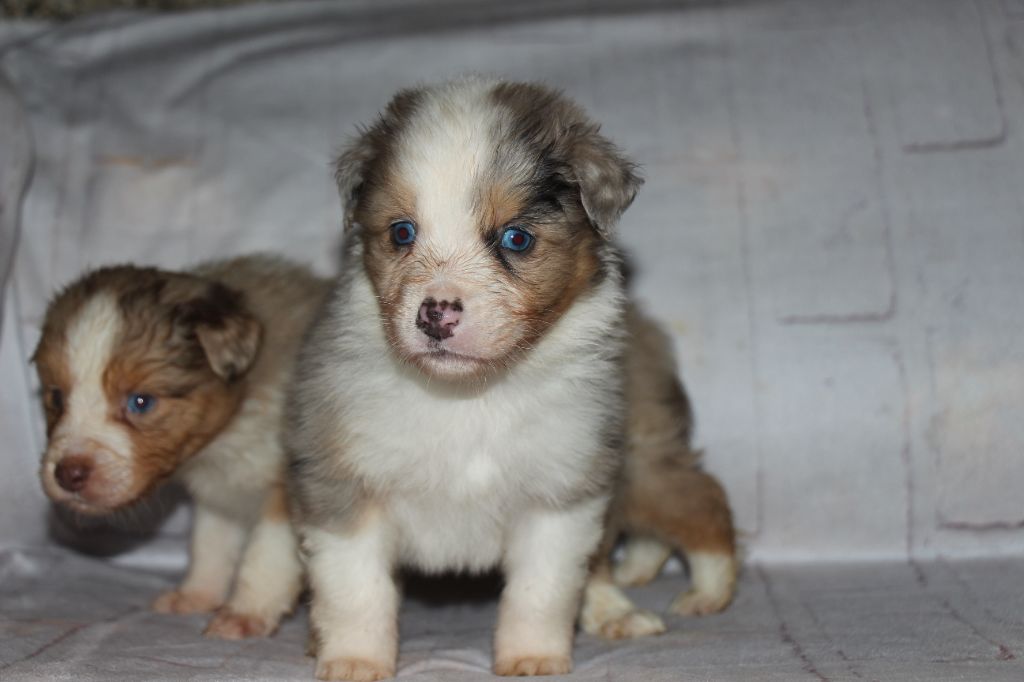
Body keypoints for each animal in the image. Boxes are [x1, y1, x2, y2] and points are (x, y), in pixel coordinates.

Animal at [33, 254, 329, 639]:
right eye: (56, 397)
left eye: (140, 402)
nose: (68, 474)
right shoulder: (217, 496)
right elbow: (209, 546)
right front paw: (196, 595)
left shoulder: (285, 492)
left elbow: (265, 557)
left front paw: (244, 613)